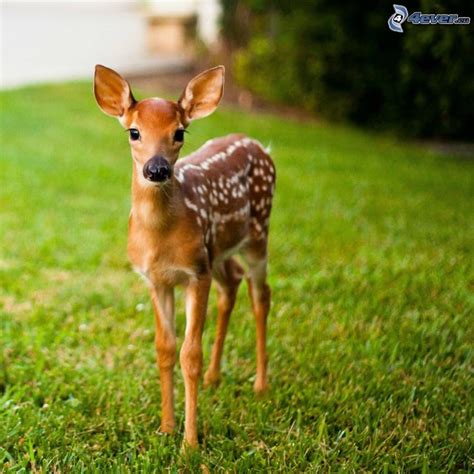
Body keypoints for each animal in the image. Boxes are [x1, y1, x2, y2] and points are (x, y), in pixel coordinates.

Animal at [93, 64, 276, 448]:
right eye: (134, 131)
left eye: (179, 132)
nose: (156, 168)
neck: (159, 238)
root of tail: (259, 145)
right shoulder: (157, 279)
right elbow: (164, 349)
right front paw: (166, 427)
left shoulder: (195, 274)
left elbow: (189, 354)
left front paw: (190, 444)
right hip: (217, 251)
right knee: (233, 282)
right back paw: (214, 378)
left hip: (258, 234)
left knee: (261, 294)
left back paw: (260, 384)